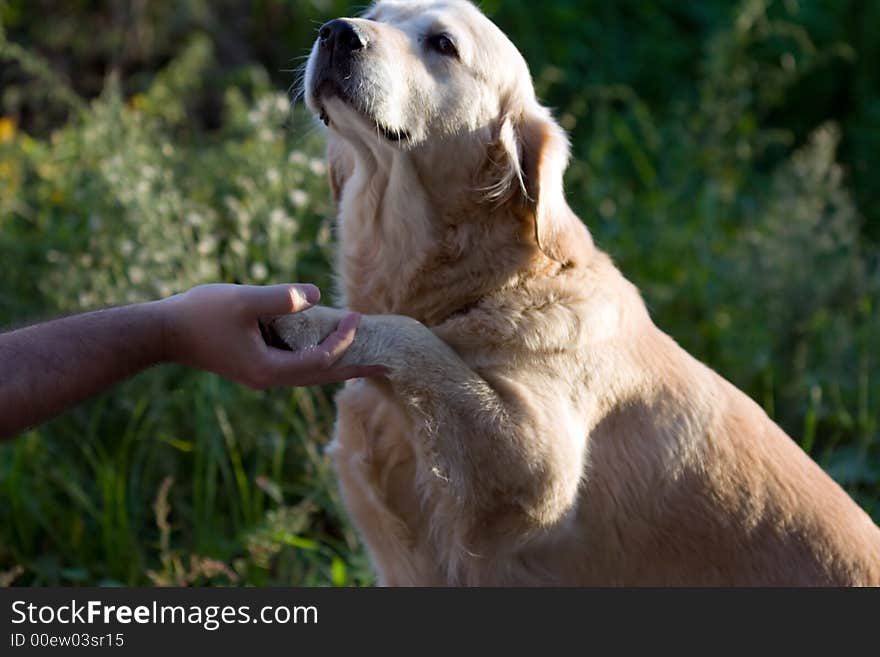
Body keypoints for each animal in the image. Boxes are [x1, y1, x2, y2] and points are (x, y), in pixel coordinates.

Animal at [266, 0, 880, 584]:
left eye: (443, 44)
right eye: (374, 16)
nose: (337, 32)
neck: (486, 286)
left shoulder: (535, 469)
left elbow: (415, 340)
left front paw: (310, 321)